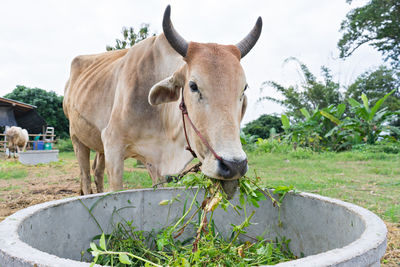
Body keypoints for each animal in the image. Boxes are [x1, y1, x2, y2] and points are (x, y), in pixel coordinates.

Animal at [63, 5, 262, 199]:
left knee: (97, 170)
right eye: (193, 86)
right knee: (85, 175)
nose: (234, 165)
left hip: (98, 145)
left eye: (243, 88)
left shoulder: (156, 163)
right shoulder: (113, 145)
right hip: (76, 137)